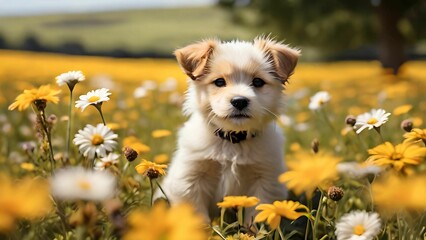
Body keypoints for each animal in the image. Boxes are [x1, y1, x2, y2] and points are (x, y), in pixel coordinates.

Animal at [158, 36, 302, 223]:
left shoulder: (266, 179)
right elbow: (196, 214)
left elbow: (256, 214)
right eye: (219, 82)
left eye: (258, 82)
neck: (233, 140)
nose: (239, 101)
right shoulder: (190, 179)